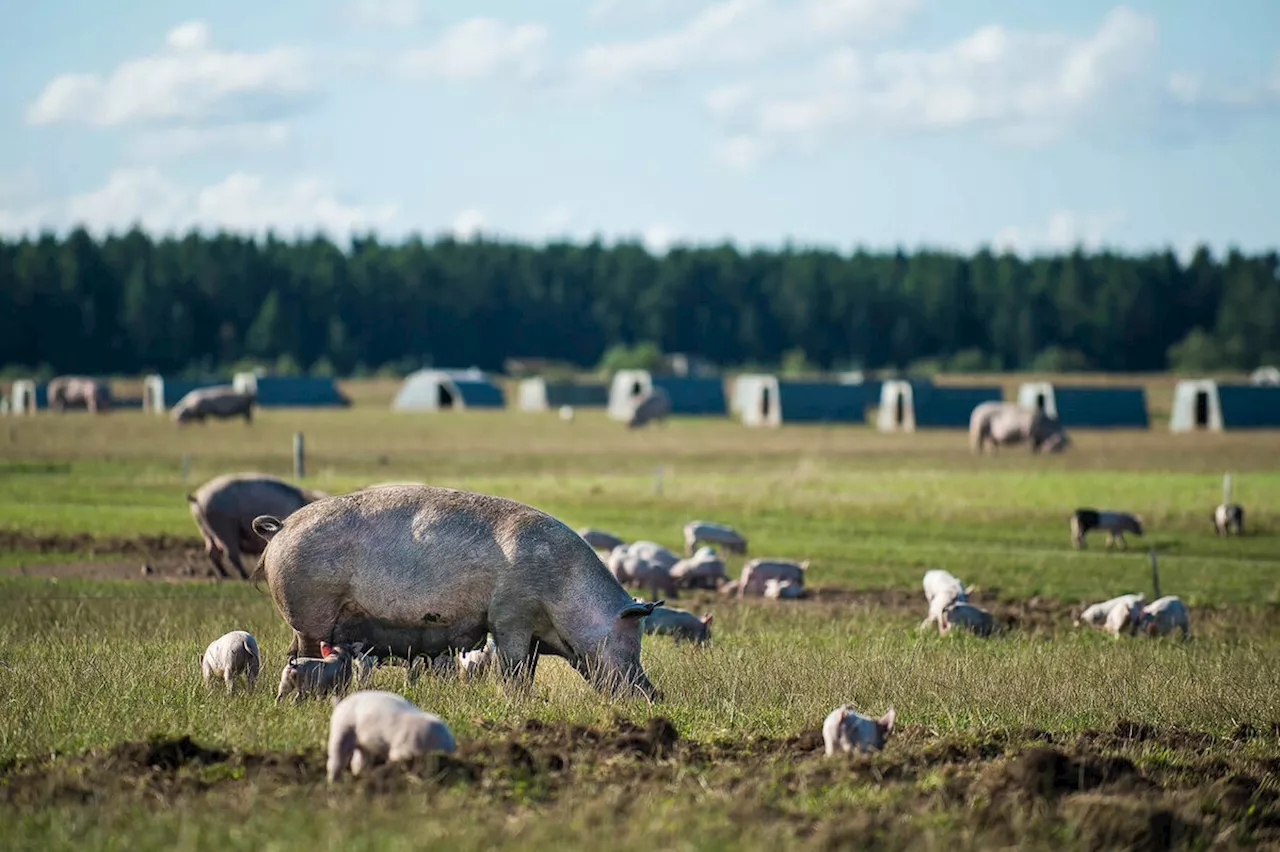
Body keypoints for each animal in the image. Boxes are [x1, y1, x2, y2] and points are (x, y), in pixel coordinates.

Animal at [186, 468, 327, 580]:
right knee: (230, 553)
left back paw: (225, 575)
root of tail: (198, 496)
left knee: (212, 551)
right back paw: (243, 576)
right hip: (224, 526)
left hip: (205, 528)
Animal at [253, 481, 665, 701]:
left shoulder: (531, 633)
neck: (563, 591)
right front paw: (518, 701)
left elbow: (528, 669)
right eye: (630, 644)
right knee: (308, 652)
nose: (654, 694)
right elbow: (513, 668)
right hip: (309, 612)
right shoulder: (510, 617)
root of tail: (282, 527)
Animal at [327, 685, 458, 777]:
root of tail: (341, 703)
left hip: (363, 744)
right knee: (335, 760)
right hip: (341, 729)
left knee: (359, 761)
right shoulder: (403, 748)